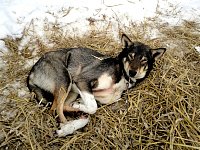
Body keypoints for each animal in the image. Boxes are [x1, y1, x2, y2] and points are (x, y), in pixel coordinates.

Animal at [27, 34, 166, 137]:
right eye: (130, 56)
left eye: (144, 60)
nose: (132, 72)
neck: (122, 75)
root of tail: (32, 71)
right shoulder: (82, 80)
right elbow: (93, 107)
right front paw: (78, 108)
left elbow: (91, 107)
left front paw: (78, 106)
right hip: (65, 79)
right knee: (56, 109)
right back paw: (67, 126)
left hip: (72, 91)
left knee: (62, 107)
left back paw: (76, 114)